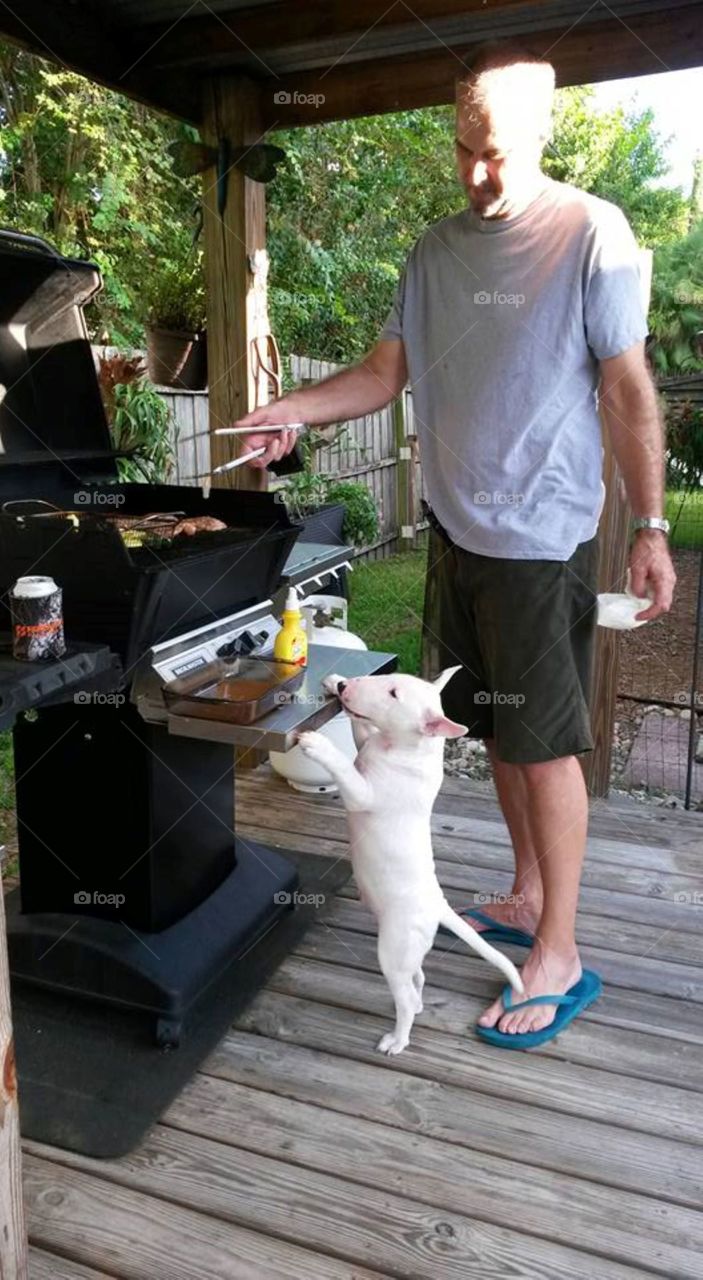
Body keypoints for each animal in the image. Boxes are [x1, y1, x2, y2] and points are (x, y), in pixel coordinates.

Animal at [295, 665, 519, 1054]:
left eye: (394, 694)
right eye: (391, 682)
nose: (345, 687)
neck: (407, 748)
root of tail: (438, 904)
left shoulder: (364, 794)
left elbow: (345, 770)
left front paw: (318, 744)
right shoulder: (367, 743)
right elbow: (359, 731)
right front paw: (332, 682)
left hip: (393, 948)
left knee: (404, 995)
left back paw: (397, 1039)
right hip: (408, 950)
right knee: (418, 977)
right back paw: (416, 1002)